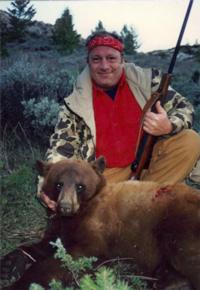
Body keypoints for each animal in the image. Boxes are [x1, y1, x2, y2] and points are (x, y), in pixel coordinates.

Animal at [1, 157, 200, 288]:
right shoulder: (59, 227)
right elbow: (45, 244)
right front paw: (10, 262)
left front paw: (19, 283)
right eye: (58, 184)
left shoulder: (97, 226)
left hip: (178, 226)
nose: (65, 207)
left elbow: (73, 256)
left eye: (80, 186)